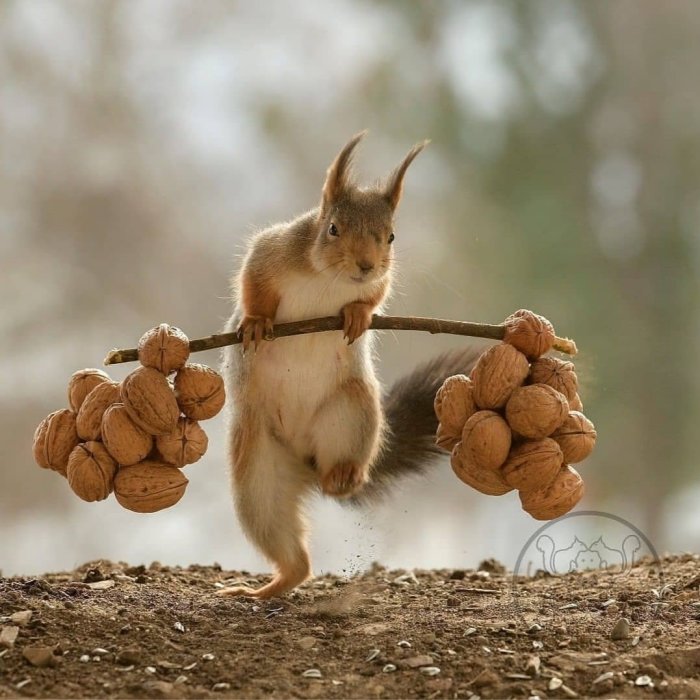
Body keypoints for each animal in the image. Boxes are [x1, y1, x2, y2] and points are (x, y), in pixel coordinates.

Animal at [220, 134, 482, 600]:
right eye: (333, 229)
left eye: (391, 236)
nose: (365, 265)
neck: (330, 278)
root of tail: (306, 465)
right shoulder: (270, 252)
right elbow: (252, 285)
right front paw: (255, 323)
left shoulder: (381, 280)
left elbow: (376, 296)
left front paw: (358, 315)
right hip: (258, 470)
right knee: (286, 545)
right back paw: (264, 588)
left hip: (354, 413)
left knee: (346, 473)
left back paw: (343, 476)